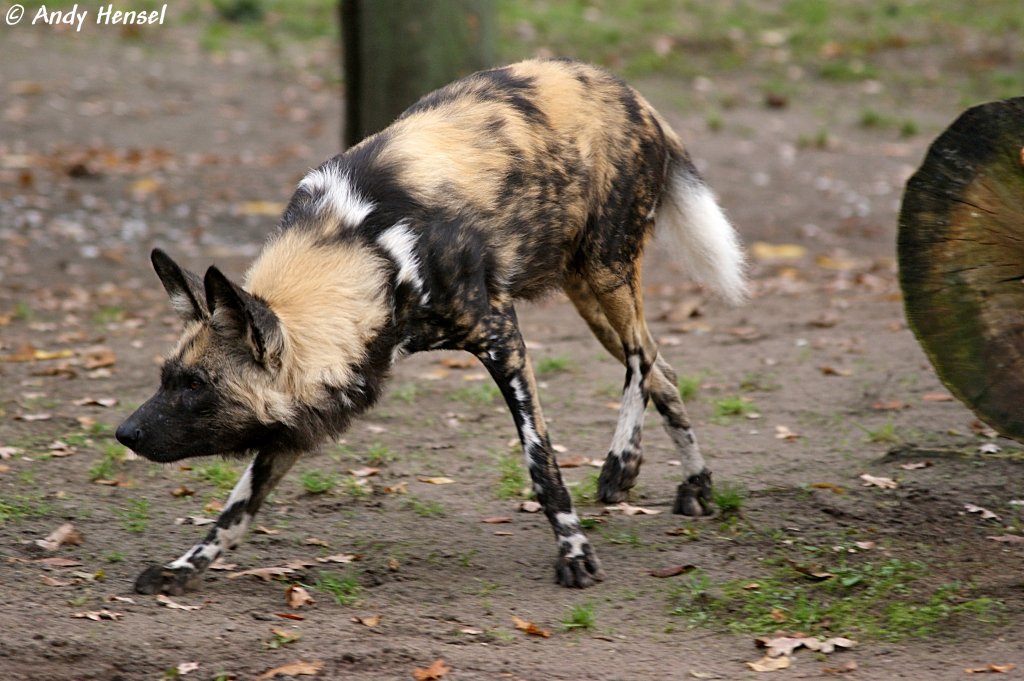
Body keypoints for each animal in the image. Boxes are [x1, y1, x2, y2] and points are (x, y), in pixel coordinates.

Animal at [117, 59, 745, 593]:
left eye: (196, 386)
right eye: (166, 377)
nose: (124, 433)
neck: (368, 257)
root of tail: (633, 95)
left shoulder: (502, 341)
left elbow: (541, 463)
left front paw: (573, 552)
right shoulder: (304, 417)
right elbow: (234, 511)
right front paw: (182, 569)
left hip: (608, 271)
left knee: (641, 358)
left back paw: (622, 464)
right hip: (588, 295)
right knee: (663, 368)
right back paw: (697, 486)